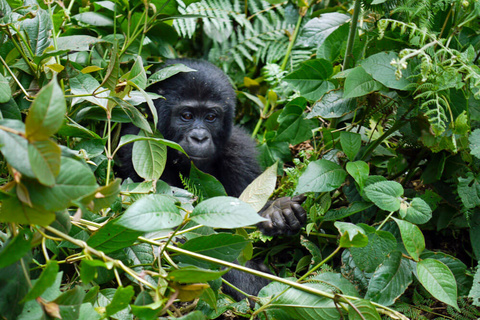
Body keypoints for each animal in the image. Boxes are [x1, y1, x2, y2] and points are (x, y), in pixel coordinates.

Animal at [114, 58, 306, 302]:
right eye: (187, 116)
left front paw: (276, 211)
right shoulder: (136, 146)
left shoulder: (240, 150)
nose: (199, 137)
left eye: (211, 117)